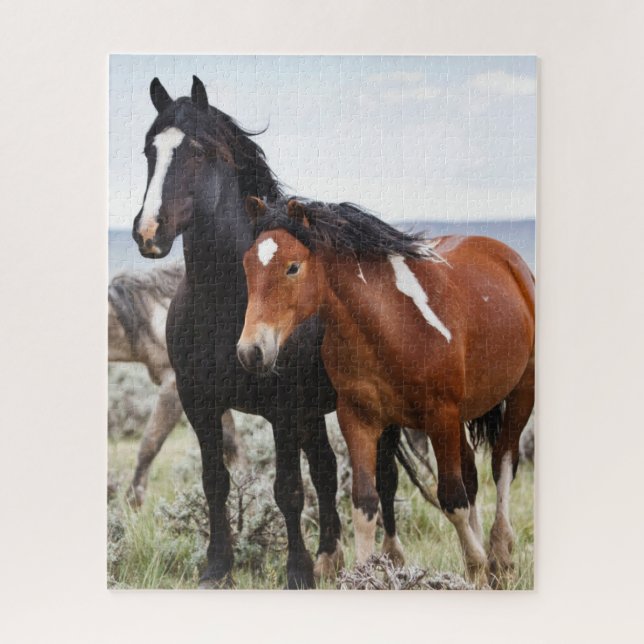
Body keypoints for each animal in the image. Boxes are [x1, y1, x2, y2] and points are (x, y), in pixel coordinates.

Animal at [130, 76, 423, 587]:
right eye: (150, 149)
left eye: (198, 152)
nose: (150, 232)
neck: (227, 302)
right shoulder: (200, 402)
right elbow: (216, 481)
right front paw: (217, 568)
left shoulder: (283, 411)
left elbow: (288, 489)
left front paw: (297, 572)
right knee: (327, 469)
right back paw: (329, 555)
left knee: (384, 475)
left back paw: (390, 556)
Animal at [237, 198, 535, 585]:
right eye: (247, 265)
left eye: (292, 267)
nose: (251, 352)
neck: (392, 323)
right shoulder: (358, 418)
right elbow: (365, 502)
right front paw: (363, 576)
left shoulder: (440, 416)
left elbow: (451, 498)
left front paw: (477, 566)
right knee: (472, 475)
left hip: (521, 395)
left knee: (502, 465)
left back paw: (500, 555)